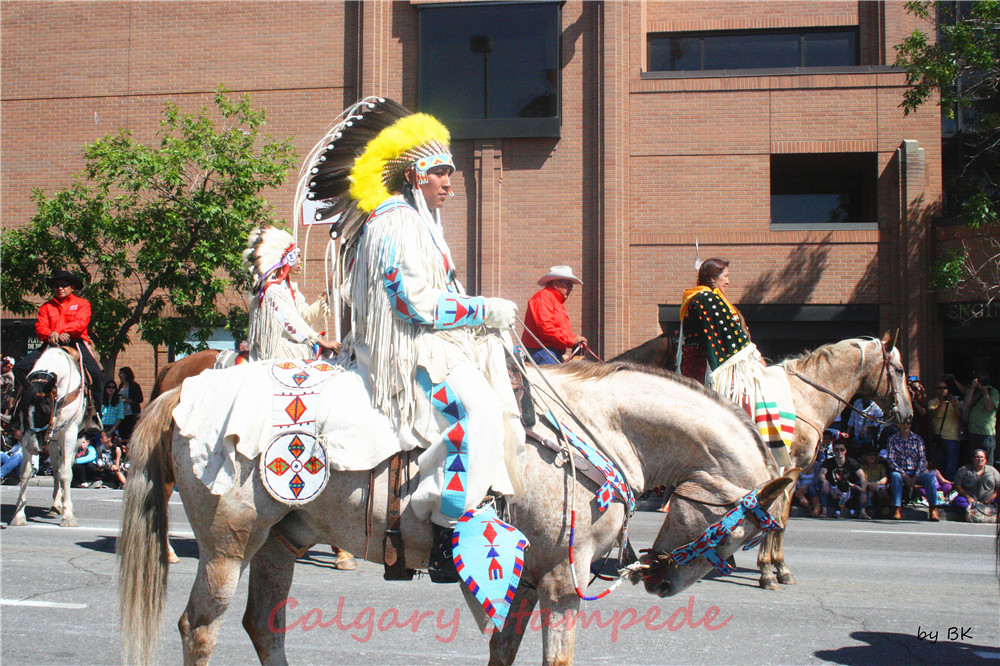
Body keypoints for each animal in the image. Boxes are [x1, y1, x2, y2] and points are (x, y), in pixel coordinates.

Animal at [8, 344, 90, 528]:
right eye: (22, 408)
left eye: (44, 410)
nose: (33, 447)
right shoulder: (25, 434)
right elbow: (25, 472)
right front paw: (19, 515)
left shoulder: (69, 435)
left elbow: (66, 472)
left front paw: (68, 517)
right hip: (52, 440)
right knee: (55, 466)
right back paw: (55, 504)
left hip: (73, 438)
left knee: (65, 466)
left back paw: (65, 506)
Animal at [117, 360, 796, 660]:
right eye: (735, 538)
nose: (659, 580)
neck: (598, 429)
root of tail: (184, 389)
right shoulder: (563, 582)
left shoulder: (527, 580)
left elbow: (505, 652)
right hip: (228, 546)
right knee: (199, 627)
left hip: (280, 541)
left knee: (264, 624)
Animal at [756, 334, 916, 588]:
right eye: (899, 370)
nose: (908, 414)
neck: (803, 399)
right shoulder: (784, 468)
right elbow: (773, 513)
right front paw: (766, 571)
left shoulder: (795, 471)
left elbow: (782, 517)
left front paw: (780, 568)